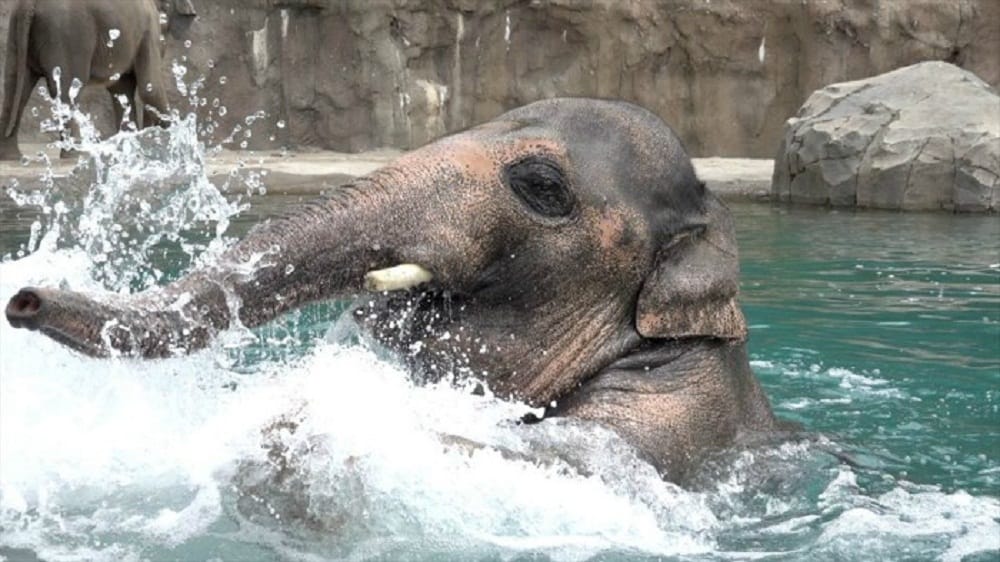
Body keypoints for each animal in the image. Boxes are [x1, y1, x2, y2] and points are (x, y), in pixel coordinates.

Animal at [0, 0, 190, 160]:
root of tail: (29, 4)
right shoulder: (148, 30)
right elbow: (150, 88)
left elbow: (121, 90)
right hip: (68, 34)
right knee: (67, 90)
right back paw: (76, 154)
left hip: (18, 31)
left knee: (15, 87)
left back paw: (13, 156)